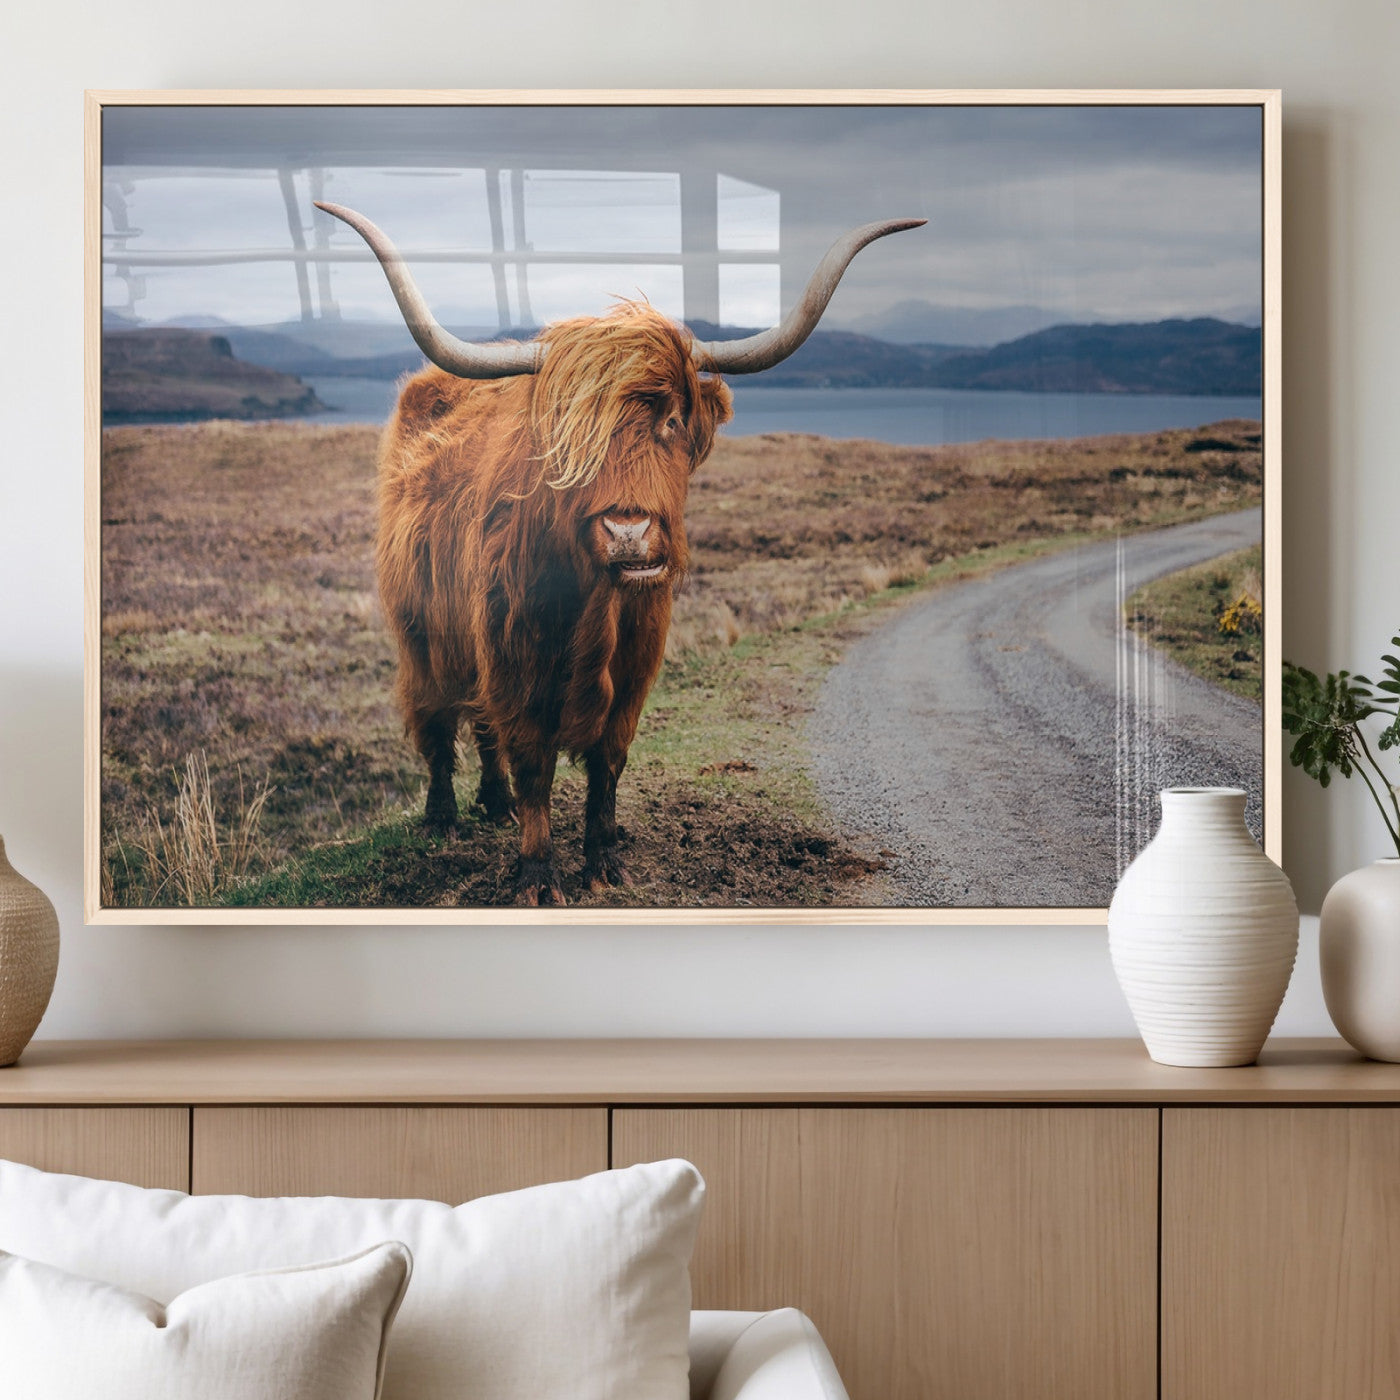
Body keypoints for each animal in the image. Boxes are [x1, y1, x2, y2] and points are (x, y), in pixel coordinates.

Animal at [316, 200, 924, 904]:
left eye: (671, 420)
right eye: (571, 433)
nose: (628, 532)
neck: (593, 610)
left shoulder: (634, 669)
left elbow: (606, 764)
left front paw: (604, 860)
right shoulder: (514, 661)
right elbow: (533, 765)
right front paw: (537, 876)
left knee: (481, 728)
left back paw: (493, 805)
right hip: (422, 632)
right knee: (438, 720)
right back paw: (443, 819)